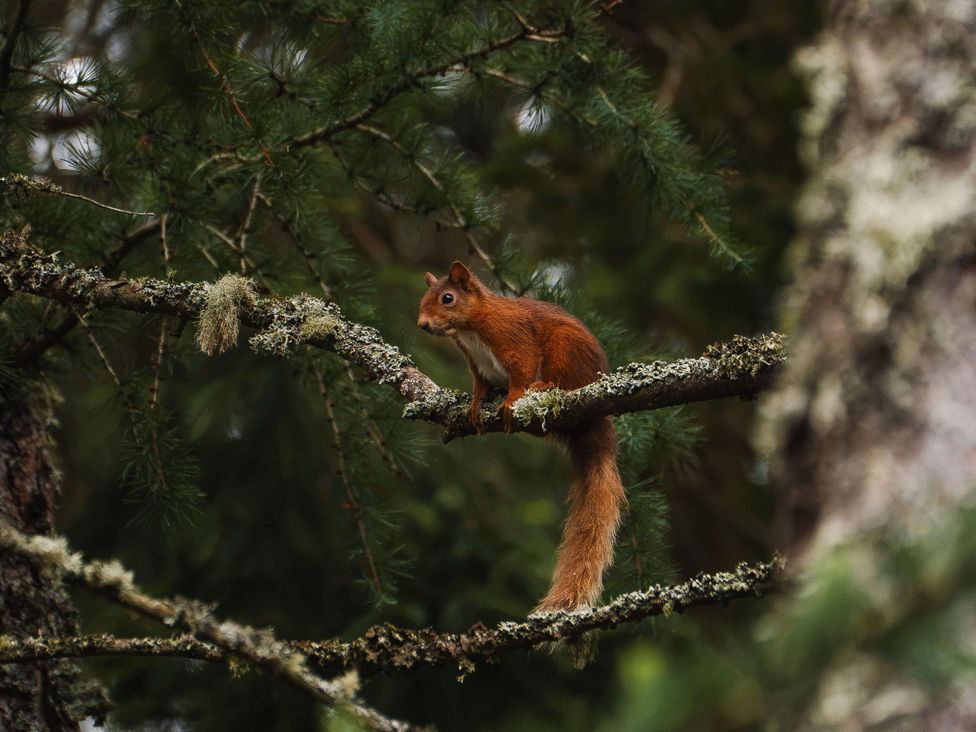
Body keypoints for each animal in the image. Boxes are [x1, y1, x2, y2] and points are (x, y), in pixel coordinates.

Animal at [418, 261, 625, 613]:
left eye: (447, 298)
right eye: (424, 298)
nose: (423, 325)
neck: (471, 330)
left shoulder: (514, 340)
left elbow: (522, 370)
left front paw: (513, 398)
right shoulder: (477, 365)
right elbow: (480, 386)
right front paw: (475, 406)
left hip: (564, 350)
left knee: (559, 381)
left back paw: (545, 387)